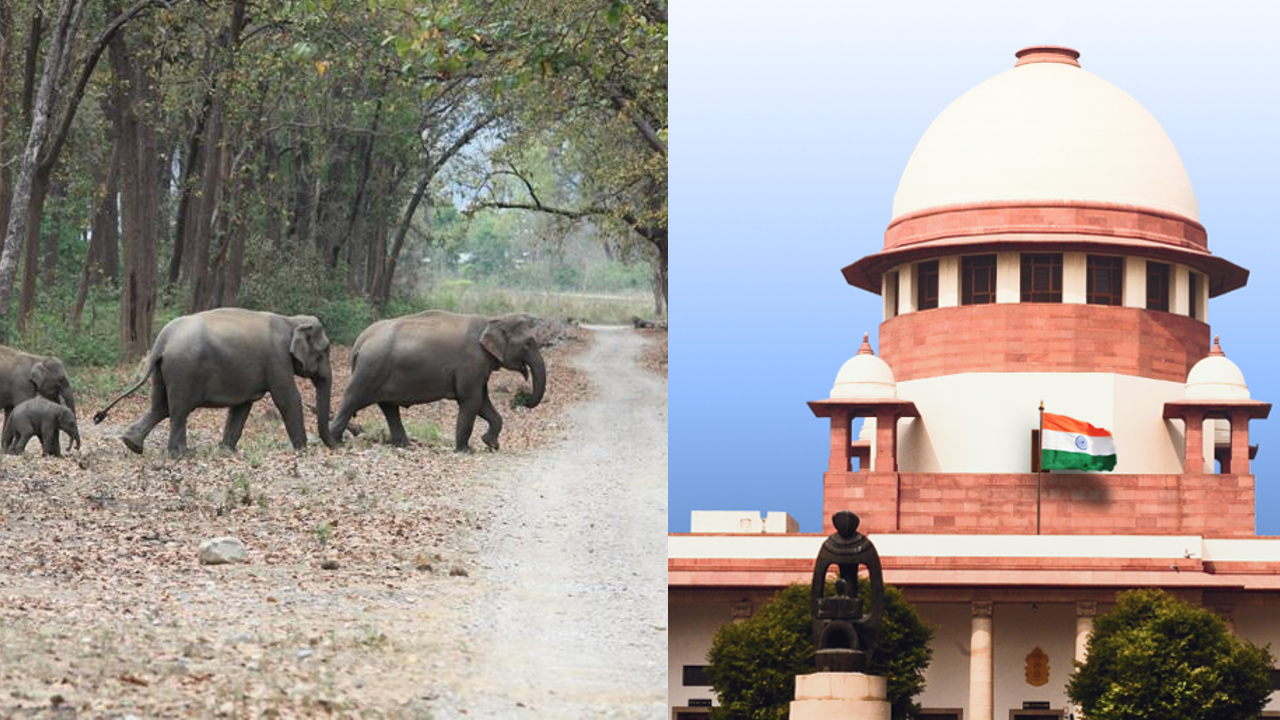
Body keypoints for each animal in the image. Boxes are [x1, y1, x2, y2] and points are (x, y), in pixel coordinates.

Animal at [93, 308, 336, 457]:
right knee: (178, 410)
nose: (337, 445)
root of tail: (162, 341)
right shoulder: (277, 359)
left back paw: (132, 444)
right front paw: (302, 451)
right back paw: (181, 454)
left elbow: (242, 406)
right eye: (325, 351)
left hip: (163, 372)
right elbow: (288, 398)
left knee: (160, 407)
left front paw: (228, 452)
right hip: (184, 370)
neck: (291, 320)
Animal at [329, 311, 546, 451]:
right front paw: (466, 450)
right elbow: (471, 400)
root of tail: (360, 340)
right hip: (370, 369)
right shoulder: (471, 363)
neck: (491, 320)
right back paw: (336, 442)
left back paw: (405, 446)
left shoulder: (478, 368)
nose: (522, 399)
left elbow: (483, 402)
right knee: (351, 399)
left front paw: (490, 444)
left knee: (389, 407)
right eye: (528, 343)